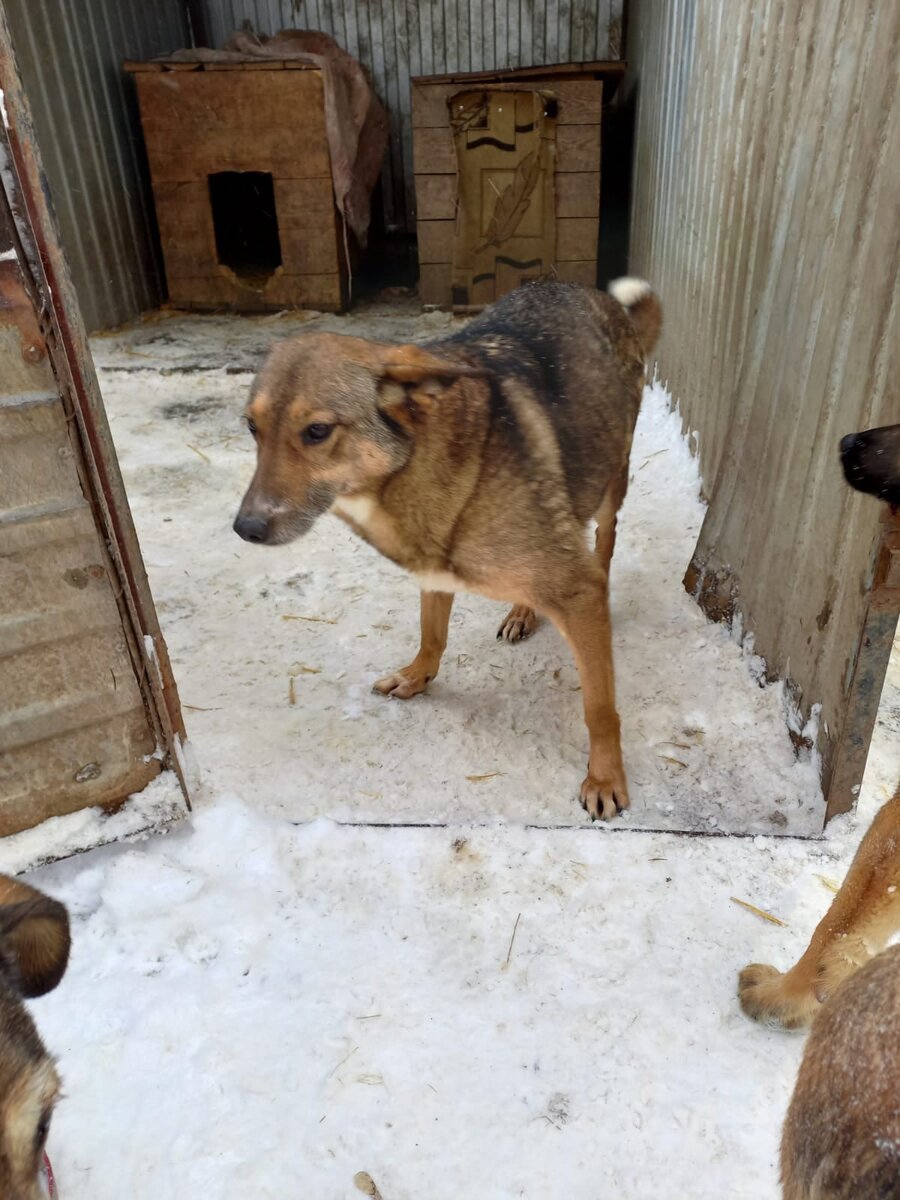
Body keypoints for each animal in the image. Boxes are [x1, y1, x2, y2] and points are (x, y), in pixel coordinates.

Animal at [236, 279, 667, 820]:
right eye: (251, 427)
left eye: (317, 431)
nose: (245, 528)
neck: (412, 463)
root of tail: (594, 295)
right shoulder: (434, 570)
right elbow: (431, 634)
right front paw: (417, 676)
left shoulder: (577, 590)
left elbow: (599, 707)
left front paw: (606, 777)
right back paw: (522, 612)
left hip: (611, 480)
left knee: (604, 540)